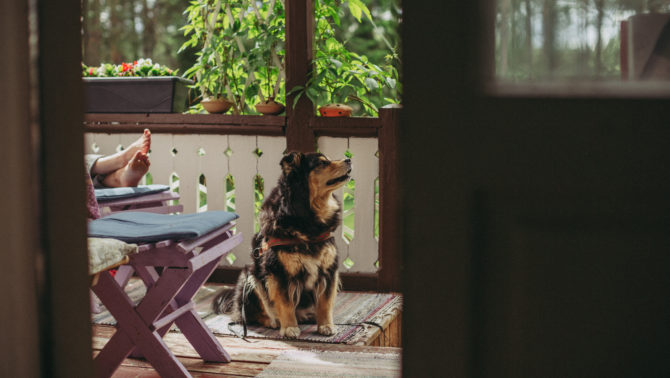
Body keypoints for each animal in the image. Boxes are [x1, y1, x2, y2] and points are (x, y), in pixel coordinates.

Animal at [214, 152, 352, 338]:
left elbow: (325, 302)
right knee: (250, 315)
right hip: (250, 278)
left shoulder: (328, 270)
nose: (348, 159)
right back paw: (273, 321)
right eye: (322, 163)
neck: (307, 216)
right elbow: (285, 304)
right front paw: (289, 328)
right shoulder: (277, 272)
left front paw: (326, 325)